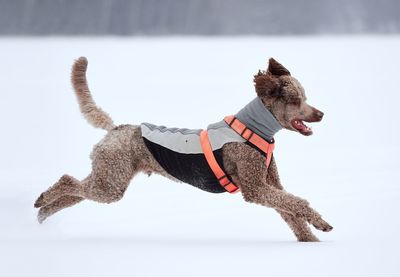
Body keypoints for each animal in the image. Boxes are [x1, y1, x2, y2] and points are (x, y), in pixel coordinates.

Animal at [34, 56, 332, 242]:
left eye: (304, 97)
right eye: (295, 100)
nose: (321, 114)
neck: (252, 128)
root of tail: (116, 129)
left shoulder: (270, 184)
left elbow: (291, 213)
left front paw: (310, 240)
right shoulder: (255, 187)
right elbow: (297, 203)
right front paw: (320, 222)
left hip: (107, 175)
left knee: (74, 192)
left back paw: (42, 214)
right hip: (111, 183)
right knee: (68, 181)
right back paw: (41, 202)